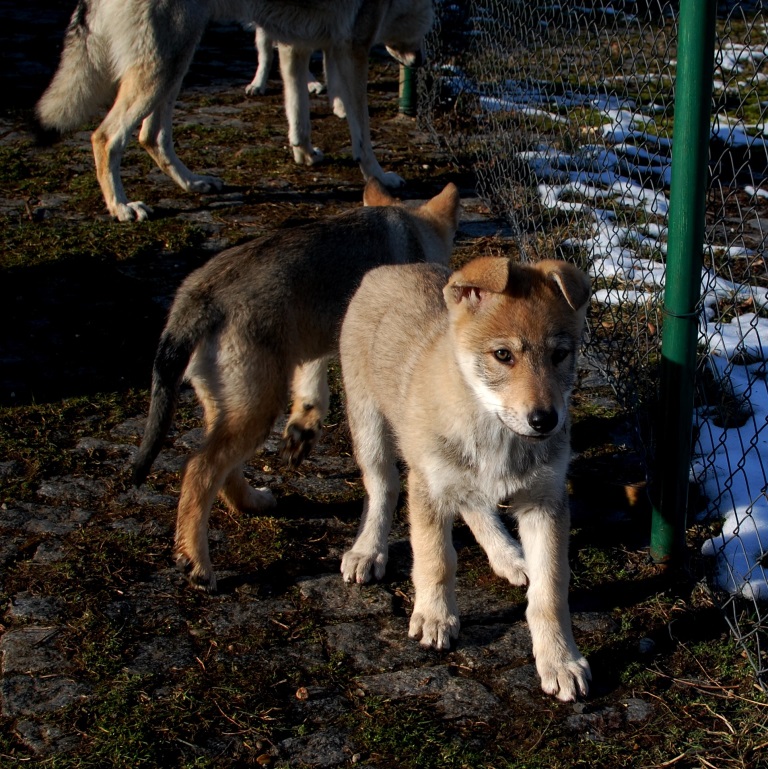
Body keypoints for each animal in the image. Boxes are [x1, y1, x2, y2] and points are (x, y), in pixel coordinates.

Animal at [340, 255, 592, 700]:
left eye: (560, 354)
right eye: (503, 355)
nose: (545, 420)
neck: (494, 431)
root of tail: (390, 267)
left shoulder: (546, 501)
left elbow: (549, 592)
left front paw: (560, 660)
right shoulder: (429, 488)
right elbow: (436, 558)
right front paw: (435, 617)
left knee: (475, 507)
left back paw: (508, 555)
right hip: (370, 429)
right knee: (382, 490)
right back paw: (368, 551)